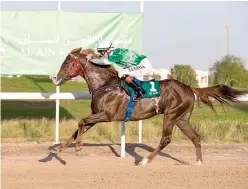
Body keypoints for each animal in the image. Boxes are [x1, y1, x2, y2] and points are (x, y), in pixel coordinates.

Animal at [51, 47, 247, 165]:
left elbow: (81, 123)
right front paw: (60, 148)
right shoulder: (96, 114)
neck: (105, 84)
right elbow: (79, 127)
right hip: (182, 118)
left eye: (67, 61)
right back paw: (198, 162)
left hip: (171, 115)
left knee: (166, 139)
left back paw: (145, 160)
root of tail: (189, 88)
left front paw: (78, 149)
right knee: (195, 137)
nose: (54, 78)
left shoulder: (106, 115)